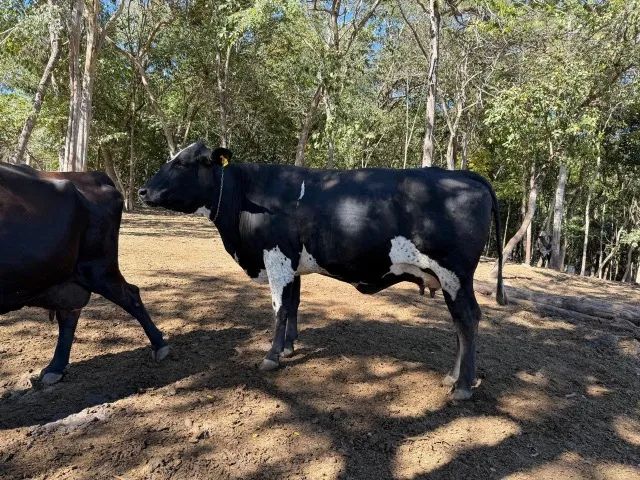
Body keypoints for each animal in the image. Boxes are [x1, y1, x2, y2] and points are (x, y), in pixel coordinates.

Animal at [0, 163, 169, 385]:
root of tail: (91, 176)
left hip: (98, 267)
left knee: (130, 295)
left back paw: (160, 345)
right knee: (69, 314)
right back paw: (55, 368)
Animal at [139, 141, 506, 400]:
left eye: (182, 163)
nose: (143, 190)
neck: (247, 196)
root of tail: (464, 175)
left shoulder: (276, 257)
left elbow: (278, 308)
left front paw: (272, 356)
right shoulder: (293, 265)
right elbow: (293, 305)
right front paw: (289, 347)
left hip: (455, 274)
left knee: (468, 319)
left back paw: (463, 386)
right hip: (450, 279)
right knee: (460, 323)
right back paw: (454, 376)